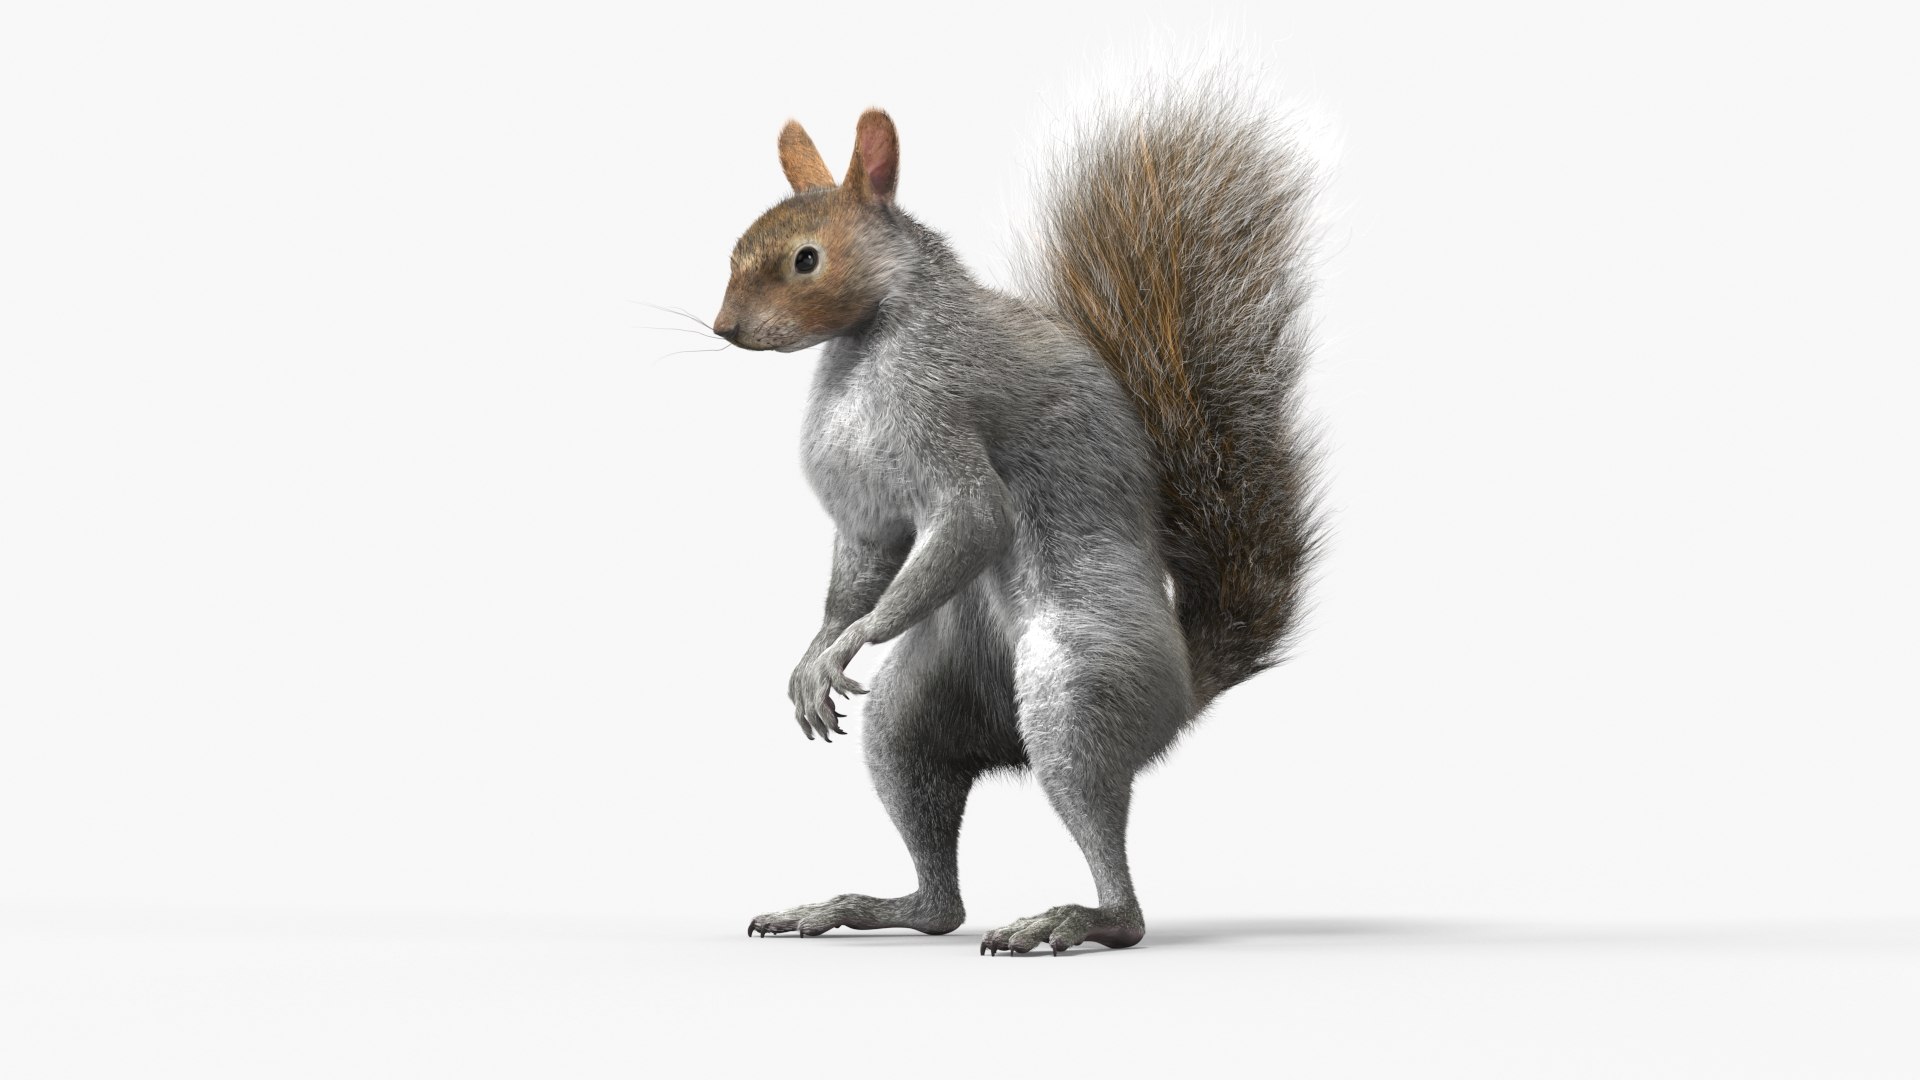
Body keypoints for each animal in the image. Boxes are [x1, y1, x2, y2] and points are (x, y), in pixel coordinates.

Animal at [713, 84, 1323, 956]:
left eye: (806, 259)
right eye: (735, 248)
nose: (724, 329)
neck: (869, 341)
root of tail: (1180, 693)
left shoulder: (942, 420)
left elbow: (974, 524)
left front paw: (850, 643)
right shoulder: (867, 517)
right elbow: (861, 568)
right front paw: (811, 655)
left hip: (1078, 692)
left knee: (1124, 904)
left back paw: (1071, 920)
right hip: (913, 715)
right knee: (940, 901)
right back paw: (850, 908)